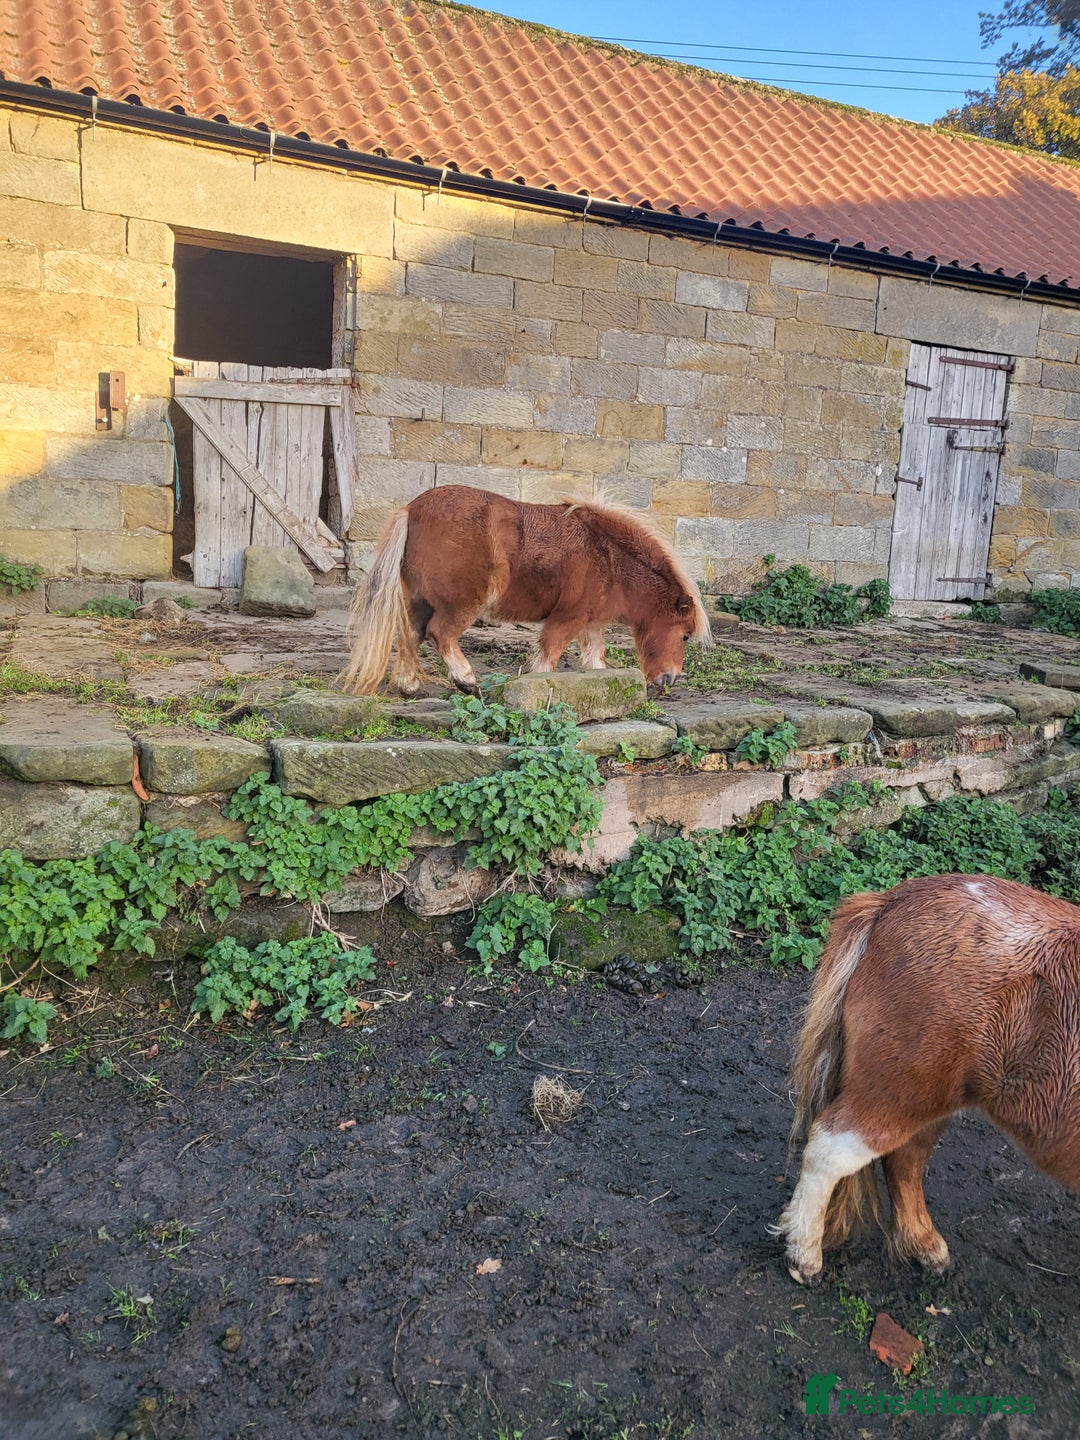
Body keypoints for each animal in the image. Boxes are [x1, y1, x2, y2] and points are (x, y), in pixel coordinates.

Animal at [342, 485, 713, 694]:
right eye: (683, 635)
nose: (670, 679)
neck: (608, 556)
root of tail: (411, 510)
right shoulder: (567, 619)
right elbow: (548, 656)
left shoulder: (591, 622)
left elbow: (595, 658)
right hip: (461, 603)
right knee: (440, 633)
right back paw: (465, 679)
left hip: (420, 601)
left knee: (410, 635)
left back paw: (409, 686)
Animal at [774, 873, 1080, 1285]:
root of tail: (891, 902)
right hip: (898, 1091)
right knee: (830, 1150)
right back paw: (804, 1256)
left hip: (926, 1099)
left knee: (904, 1159)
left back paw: (923, 1246)